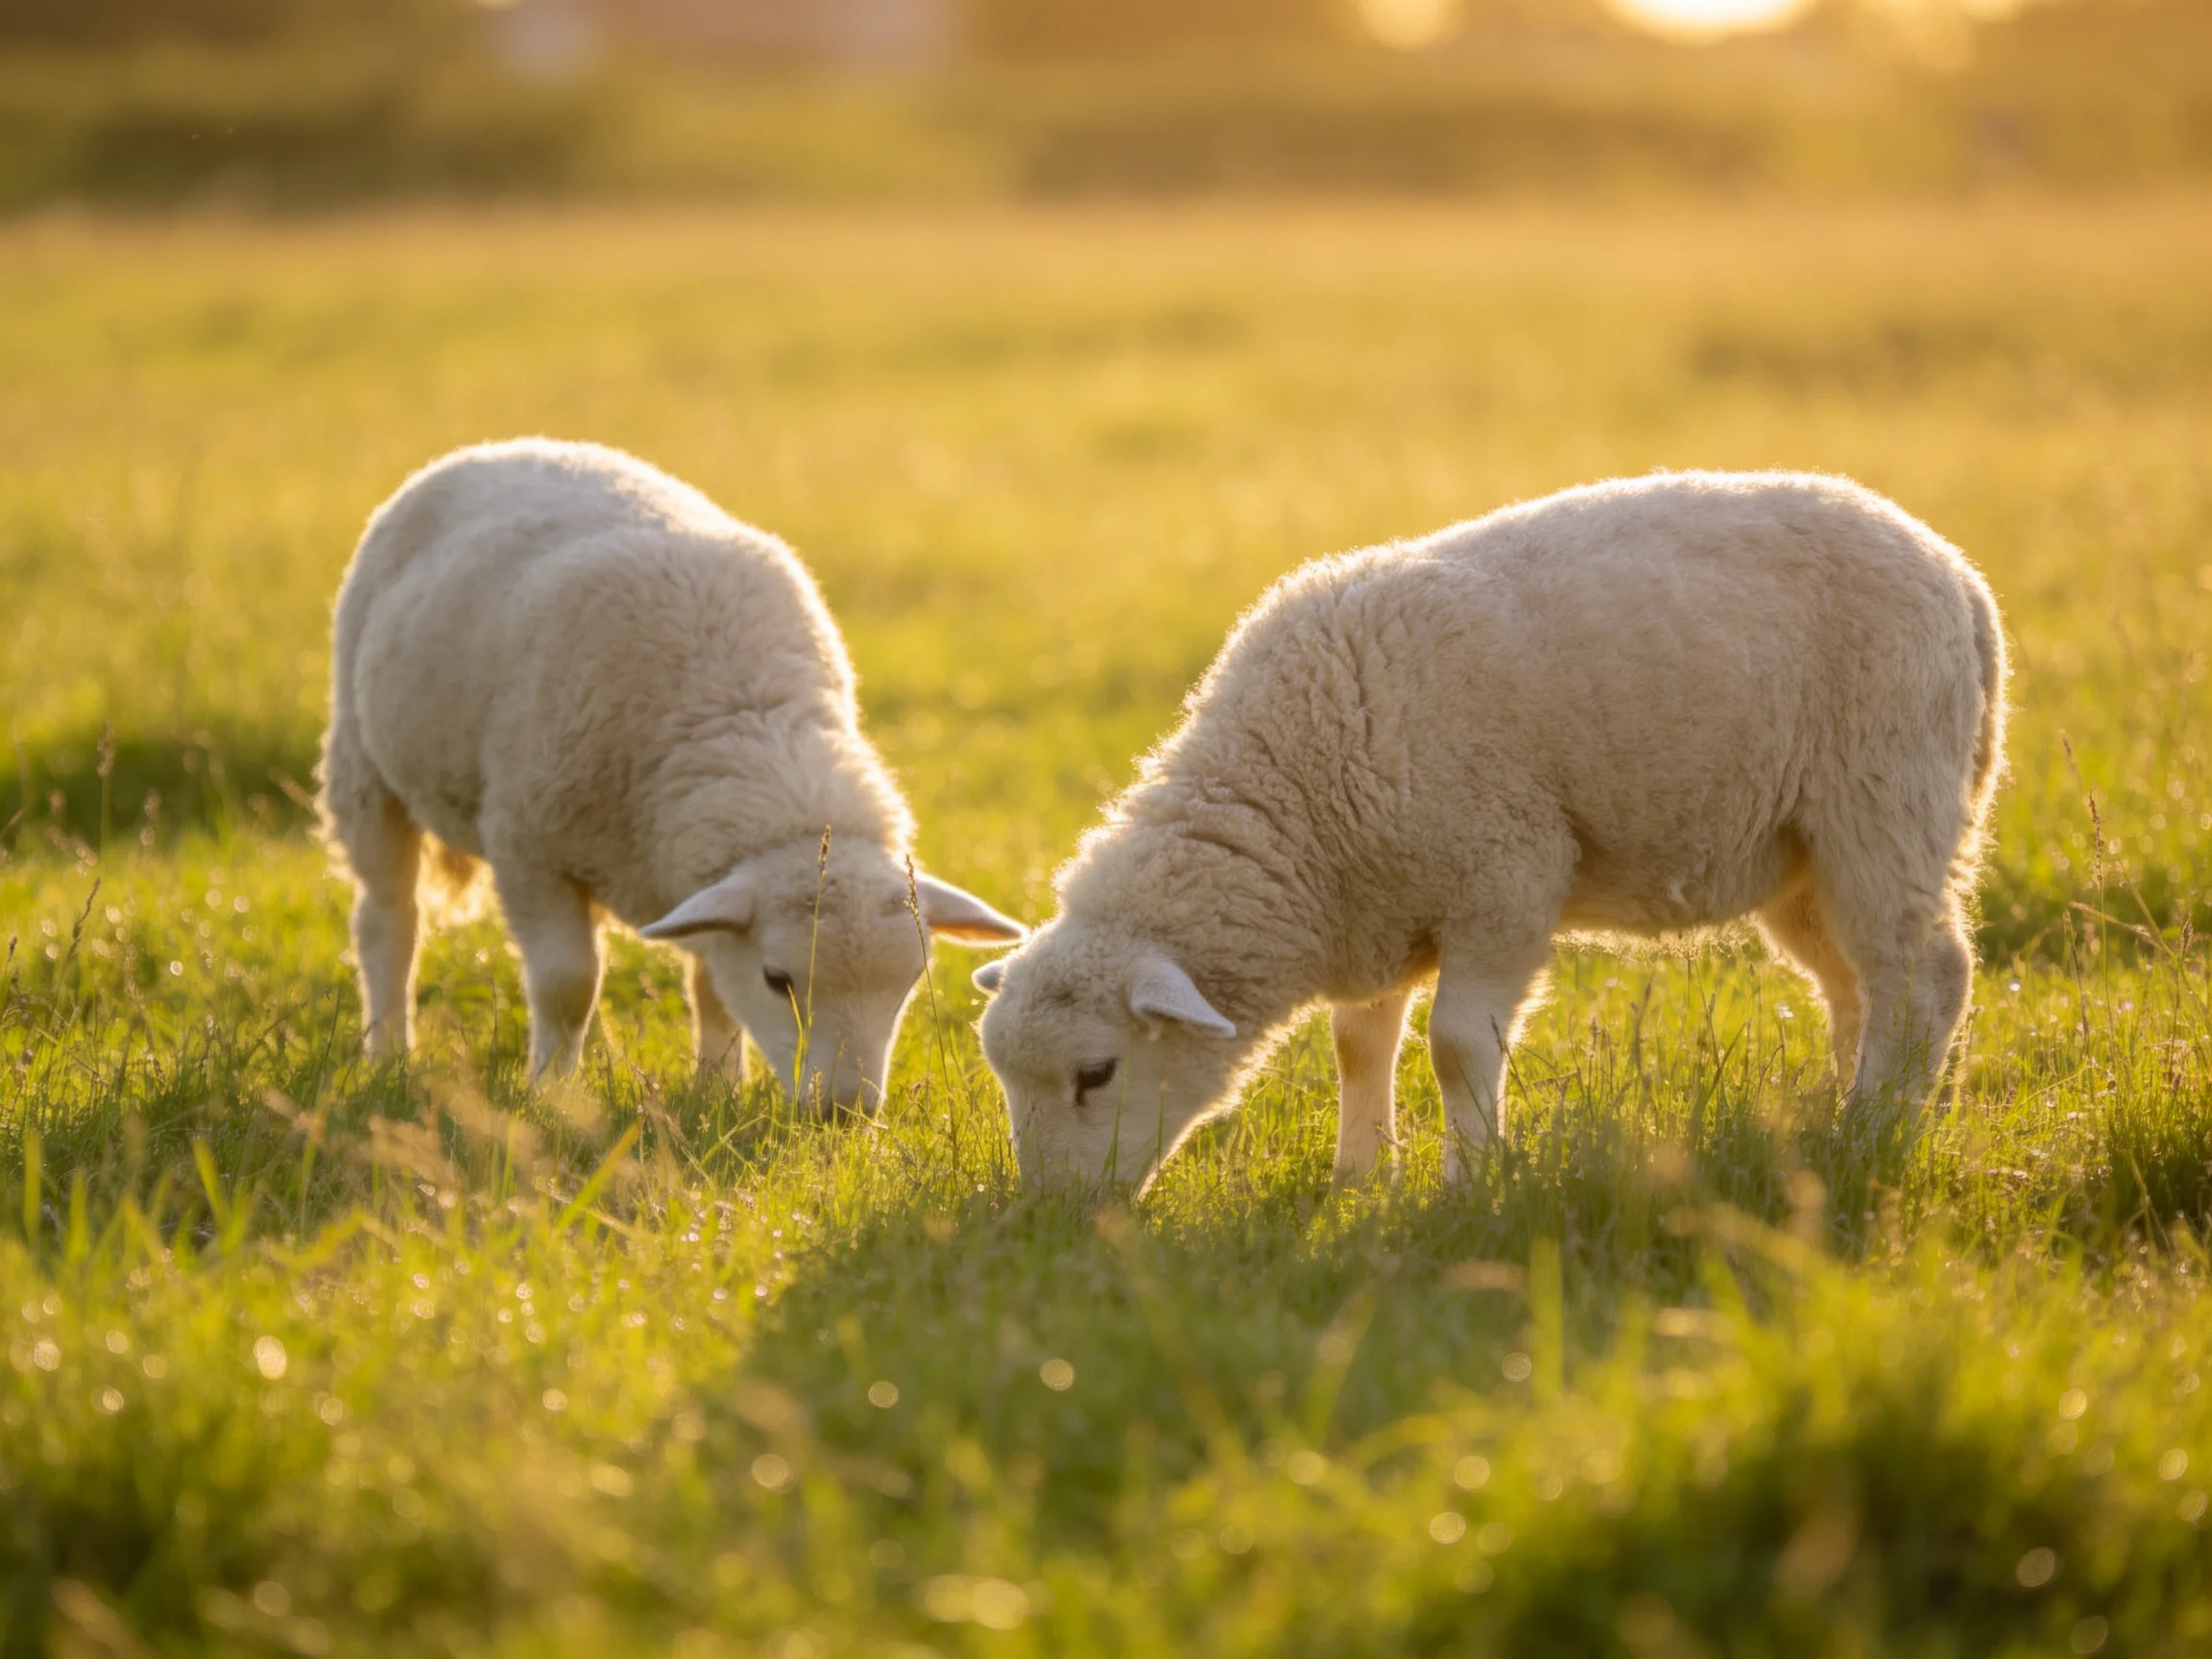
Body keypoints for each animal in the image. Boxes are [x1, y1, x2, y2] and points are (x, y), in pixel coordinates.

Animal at [319, 438, 1024, 1106]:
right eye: (777, 980)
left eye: (907, 984)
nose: (845, 1111)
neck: (748, 723)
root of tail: (504, 447)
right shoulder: (528, 848)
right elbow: (568, 986)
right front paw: (551, 1092)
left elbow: (712, 990)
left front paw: (717, 1090)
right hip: (362, 765)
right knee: (388, 919)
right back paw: (388, 1050)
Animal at [976, 470, 2006, 1191]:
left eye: (1096, 1073)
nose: (1051, 1217)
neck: (1295, 797)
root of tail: (1959, 577)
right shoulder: (1376, 909)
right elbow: (1358, 1043)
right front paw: (1360, 1176)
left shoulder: (1505, 878)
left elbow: (1458, 1047)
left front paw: (1468, 1181)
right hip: (1802, 856)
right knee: (1857, 986)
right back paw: (1866, 1112)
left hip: (1885, 800)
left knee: (1922, 975)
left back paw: (1874, 1128)